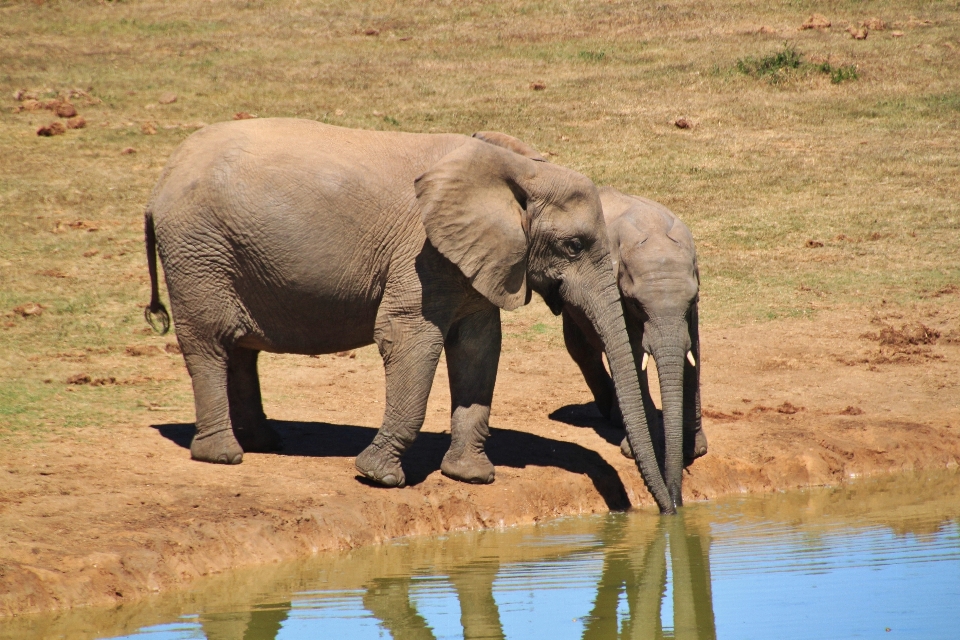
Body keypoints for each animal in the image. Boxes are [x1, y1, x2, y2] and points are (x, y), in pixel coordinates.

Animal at [144, 117, 676, 512]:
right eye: (573, 246)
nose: (669, 509)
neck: (515, 168)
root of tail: (162, 178)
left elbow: (480, 347)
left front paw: (470, 477)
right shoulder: (420, 254)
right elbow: (409, 338)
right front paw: (377, 478)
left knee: (240, 350)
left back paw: (264, 443)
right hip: (198, 250)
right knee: (210, 343)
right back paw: (224, 457)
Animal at [564, 188, 704, 508]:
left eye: (692, 300)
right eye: (638, 304)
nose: (675, 504)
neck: (654, 230)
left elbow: (694, 350)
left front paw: (695, 449)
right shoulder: (616, 290)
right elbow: (632, 349)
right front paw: (638, 448)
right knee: (581, 346)